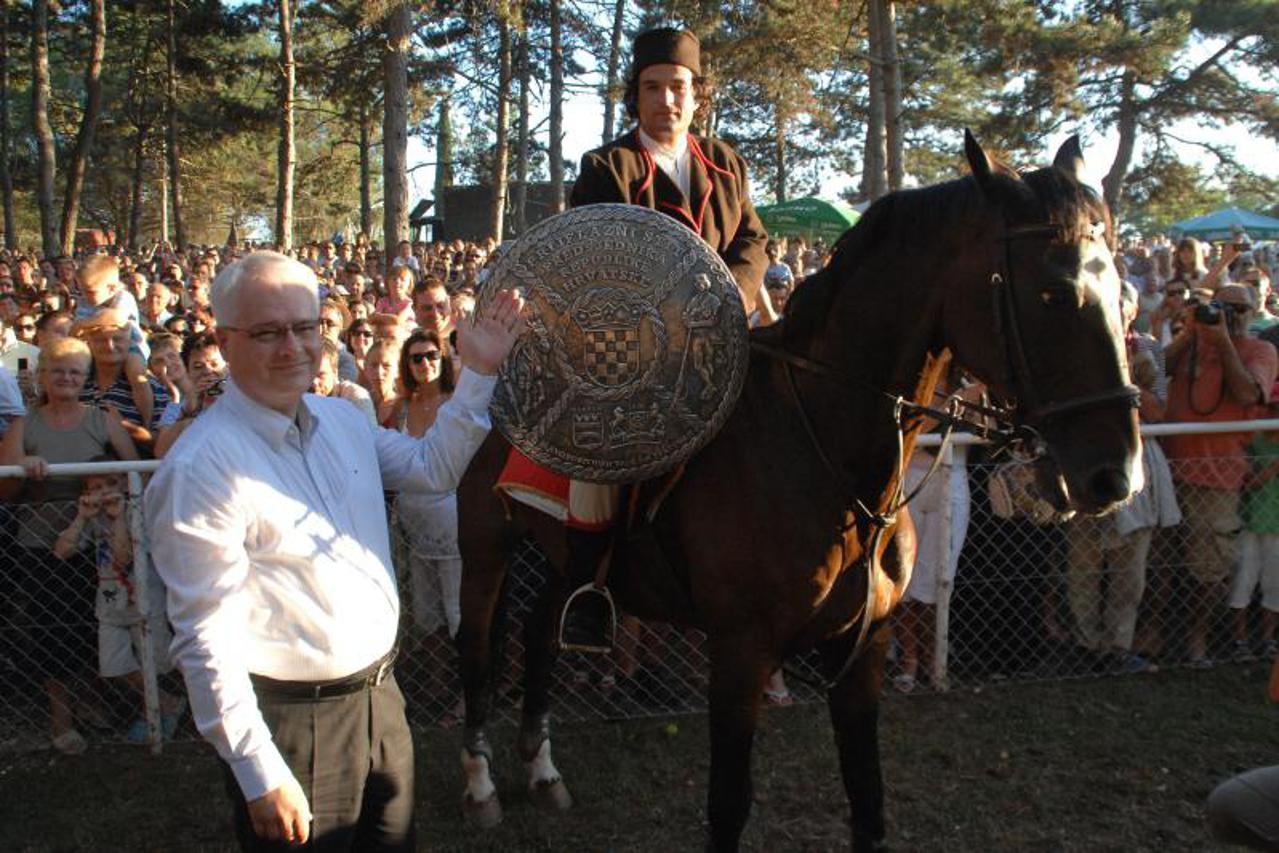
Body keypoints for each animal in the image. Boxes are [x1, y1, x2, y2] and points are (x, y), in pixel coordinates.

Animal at [450, 130, 1140, 849]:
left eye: (1122, 292)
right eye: (1053, 295)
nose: (1114, 472)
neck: (830, 458)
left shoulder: (863, 651)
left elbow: (867, 799)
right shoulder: (740, 655)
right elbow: (728, 804)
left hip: (561, 560)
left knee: (538, 631)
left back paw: (542, 769)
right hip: (485, 549)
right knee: (477, 653)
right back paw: (480, 784)